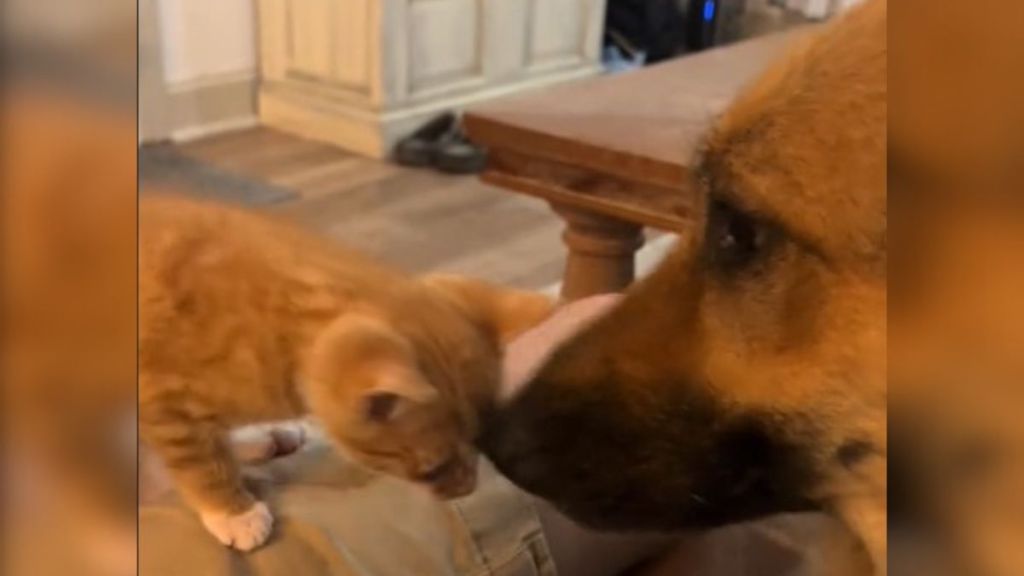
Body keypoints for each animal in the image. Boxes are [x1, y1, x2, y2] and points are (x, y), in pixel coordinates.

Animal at [141, 194, 557, 549]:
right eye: (431, 471)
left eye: (481, 445)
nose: (467, 490)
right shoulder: (161, 399)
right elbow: (199, 460)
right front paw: (233, 512)